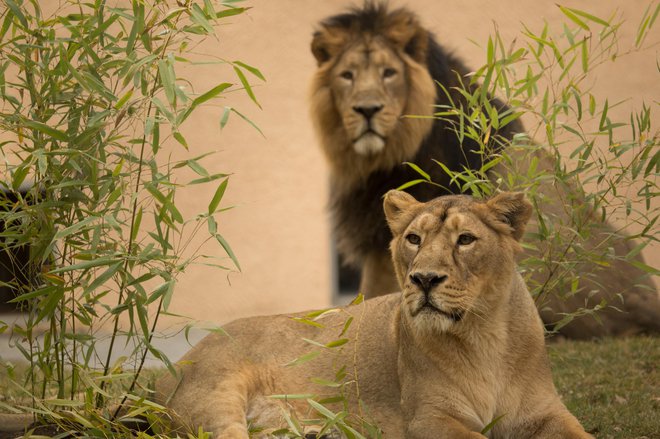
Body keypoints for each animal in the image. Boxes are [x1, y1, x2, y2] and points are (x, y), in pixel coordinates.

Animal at [156, 192, 592, 439]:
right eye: (414, 239)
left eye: (466, 239)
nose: (424, 279)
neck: (484, 334)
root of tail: (175, 363)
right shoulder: (429, 419)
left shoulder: (546, 413)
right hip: (217, 394)